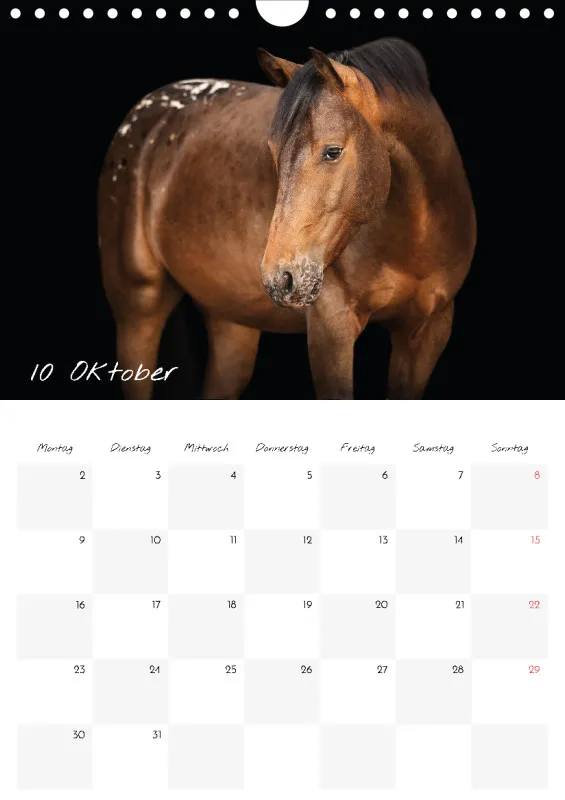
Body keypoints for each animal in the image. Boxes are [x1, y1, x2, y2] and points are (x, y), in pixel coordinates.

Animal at [97, 37, 476, 400]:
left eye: (333, 151)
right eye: (273, 152)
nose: (280, 279)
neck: (414, 242)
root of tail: (147, 115)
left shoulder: (427, 333)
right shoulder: (331, 330)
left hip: (231, 322)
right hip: (138, 309)